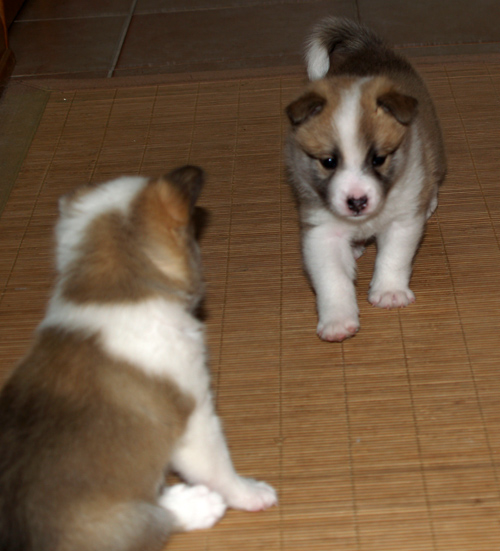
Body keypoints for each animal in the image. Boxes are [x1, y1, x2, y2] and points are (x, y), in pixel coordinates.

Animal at [0, 167, 278, 551]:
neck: (114, 291)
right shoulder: (196, 418)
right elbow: (219, 467)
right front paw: (251, 493)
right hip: (117, 522)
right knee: (154, 520)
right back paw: (197, 504)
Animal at [286, 17, 446, 340]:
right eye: (329, 162)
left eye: (378, 159)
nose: (357, 202)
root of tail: (370, 46)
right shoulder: (321, 232)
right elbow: (332, 279)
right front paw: (337, 321)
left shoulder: (402, 220)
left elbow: (393, 257)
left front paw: (389, 293)